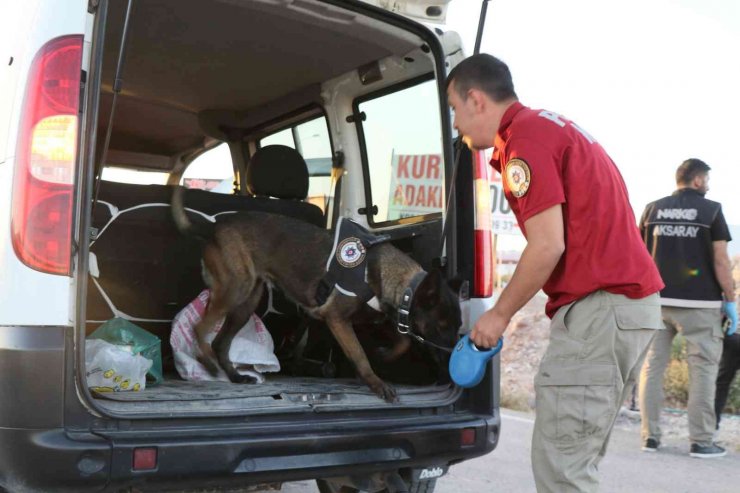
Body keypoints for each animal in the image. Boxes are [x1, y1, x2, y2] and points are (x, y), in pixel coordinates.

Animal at [172, 186, 462, 402]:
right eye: (441, 326)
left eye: (457, 325)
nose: (455, 356)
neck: (383, 272)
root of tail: (213, 228)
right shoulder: (337, 320)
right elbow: (360, 355)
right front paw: (376, 382)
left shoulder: (370, 318)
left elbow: (402, 341)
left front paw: (386, 354)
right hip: (236, 289)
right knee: (200, 328)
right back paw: (207, 361)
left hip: (246, 302)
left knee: (221, 342)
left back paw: (234, 376)